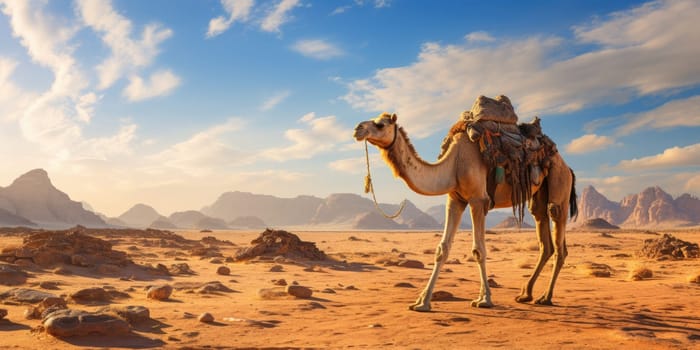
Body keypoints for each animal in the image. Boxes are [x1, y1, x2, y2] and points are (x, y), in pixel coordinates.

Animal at [352, 112, 576, 312]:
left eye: (380, 124)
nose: (357, 129)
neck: (454, 163)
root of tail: (569, 167)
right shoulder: (455, 199)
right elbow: (442, 249)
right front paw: (422, 302)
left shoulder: (478, 200)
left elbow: (479, 250)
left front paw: (484, 299)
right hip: (538, 196)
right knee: (544, 238)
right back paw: (525, 294)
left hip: (559, 184)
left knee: (558, 236)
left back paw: (546, 297)